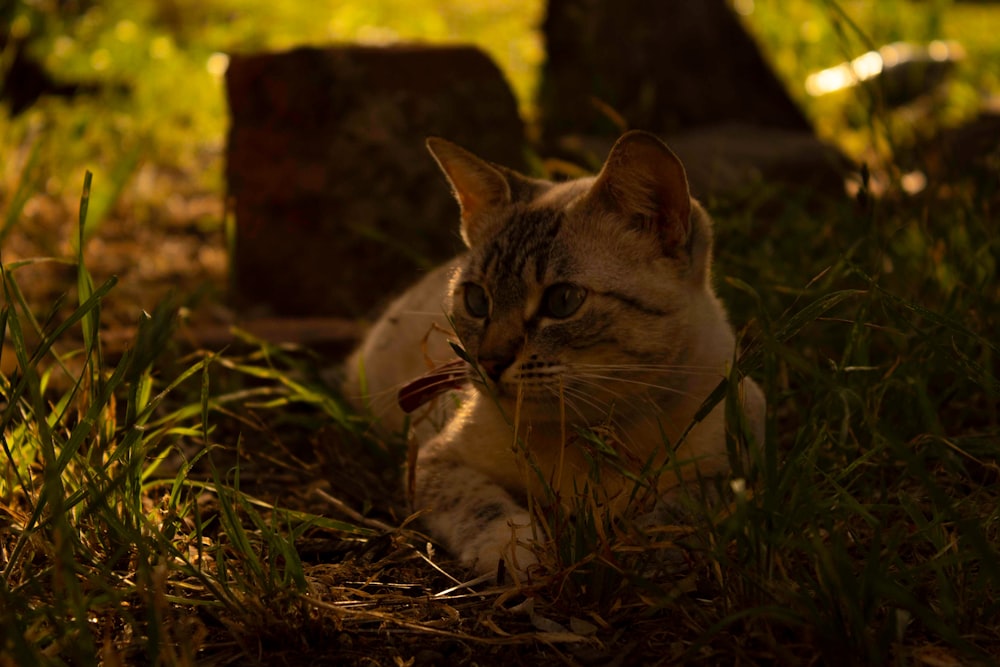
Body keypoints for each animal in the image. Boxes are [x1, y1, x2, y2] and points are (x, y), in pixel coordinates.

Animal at [344, 129, 764, 580]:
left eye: (562, 301)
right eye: (476, 300)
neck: (591, 428)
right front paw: (514, 554)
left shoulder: (736, 467)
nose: (490, 362)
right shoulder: (434, 460)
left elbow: (682, 506)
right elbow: (482, 506)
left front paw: (642, 550)